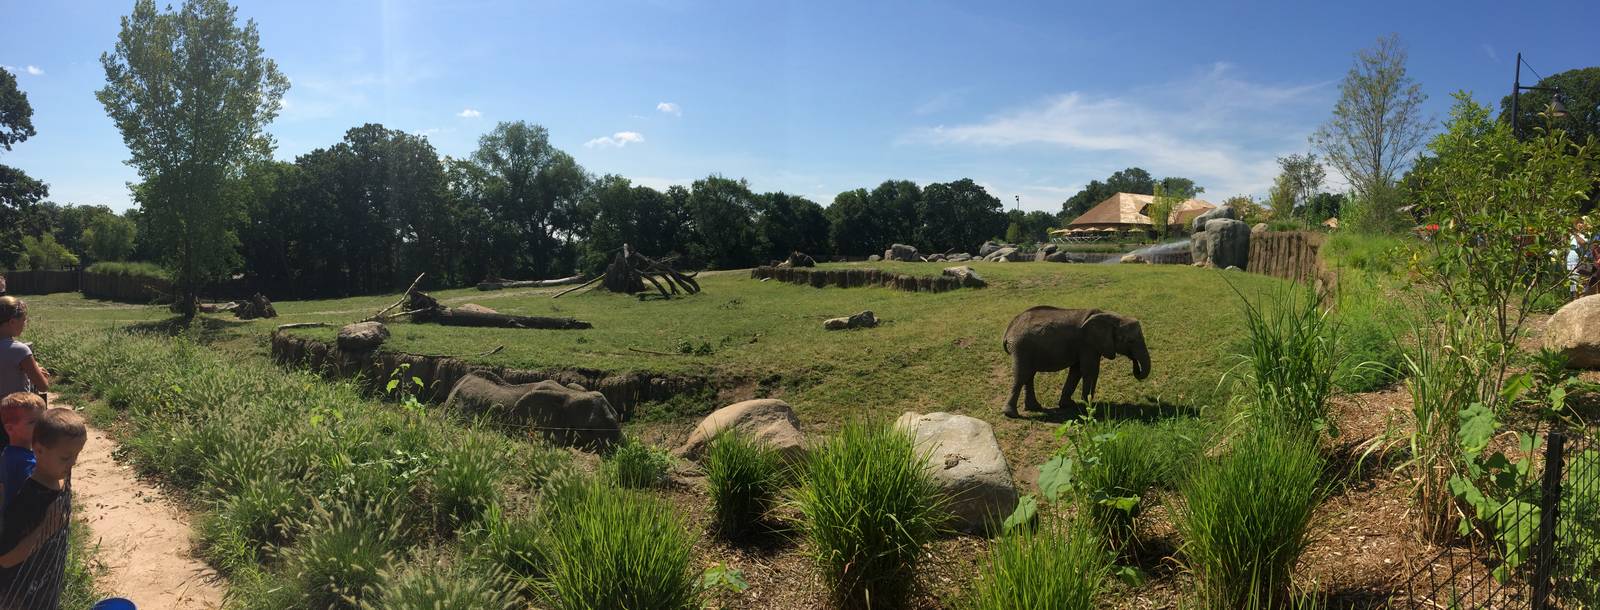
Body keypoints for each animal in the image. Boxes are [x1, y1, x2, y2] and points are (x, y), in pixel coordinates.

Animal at [1001, 306, 1151, 418]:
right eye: (1130, 341)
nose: (1134, 362)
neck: (1112, 317)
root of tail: (1009, 329)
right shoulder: (1087, 344)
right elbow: (1089, 370)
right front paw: (1089, 406)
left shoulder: (1088, 346)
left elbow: (1077, 371)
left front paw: (1069, 405)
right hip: (1021, 347)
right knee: (1021, 375)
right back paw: (1011, 414)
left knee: (1029, 375)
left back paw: (1034, 408)